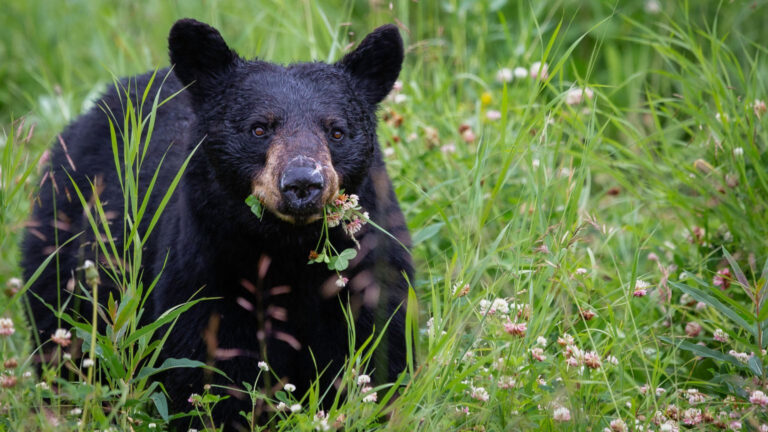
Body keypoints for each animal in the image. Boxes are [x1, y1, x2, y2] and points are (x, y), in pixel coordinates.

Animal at [21, 18, 412, 430]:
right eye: (259, 128)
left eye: (336, 131)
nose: (303, 183)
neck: (287, 249)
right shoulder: (206, 270)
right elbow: (209, 370)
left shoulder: (369, 270)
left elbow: (377, 353)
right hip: (63, 243)